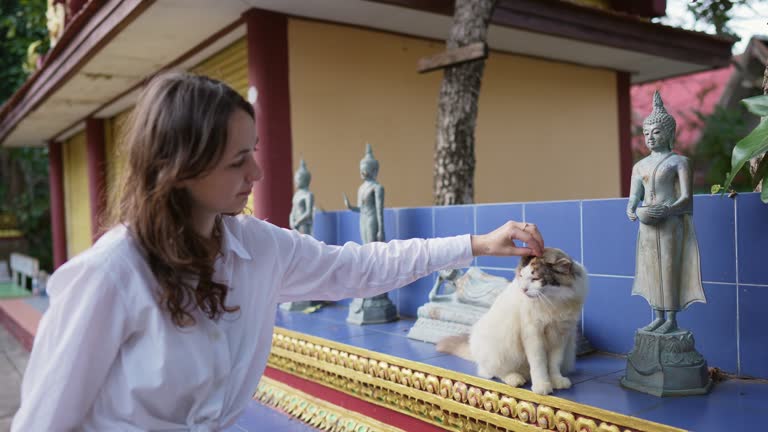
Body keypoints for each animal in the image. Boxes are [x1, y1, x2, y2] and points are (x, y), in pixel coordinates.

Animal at [438, 250, 588, 394]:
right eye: (521, 276)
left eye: (535, 278)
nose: (524, 289)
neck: (553, 301)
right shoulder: (533, 334)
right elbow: (539, 363)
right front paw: (542, 385)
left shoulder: (561, 336)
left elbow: (554, 363)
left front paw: (556, 380)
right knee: (491, 372)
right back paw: (514, 378)